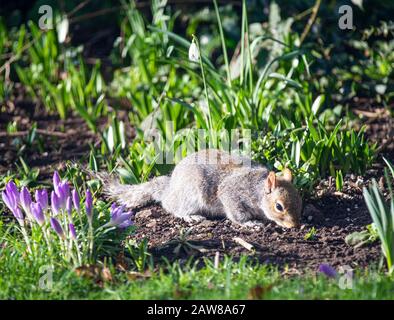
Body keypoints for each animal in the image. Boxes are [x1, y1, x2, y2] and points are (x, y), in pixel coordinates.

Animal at [101, 149, 302, 228]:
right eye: (279, 206)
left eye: (300, 202)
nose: (295, 225)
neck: (257, 188)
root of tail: (170, 189)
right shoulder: (232, 192)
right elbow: (236, 213)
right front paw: (250, 223)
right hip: (190, 196)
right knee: (173, 207)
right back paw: (191, 216)